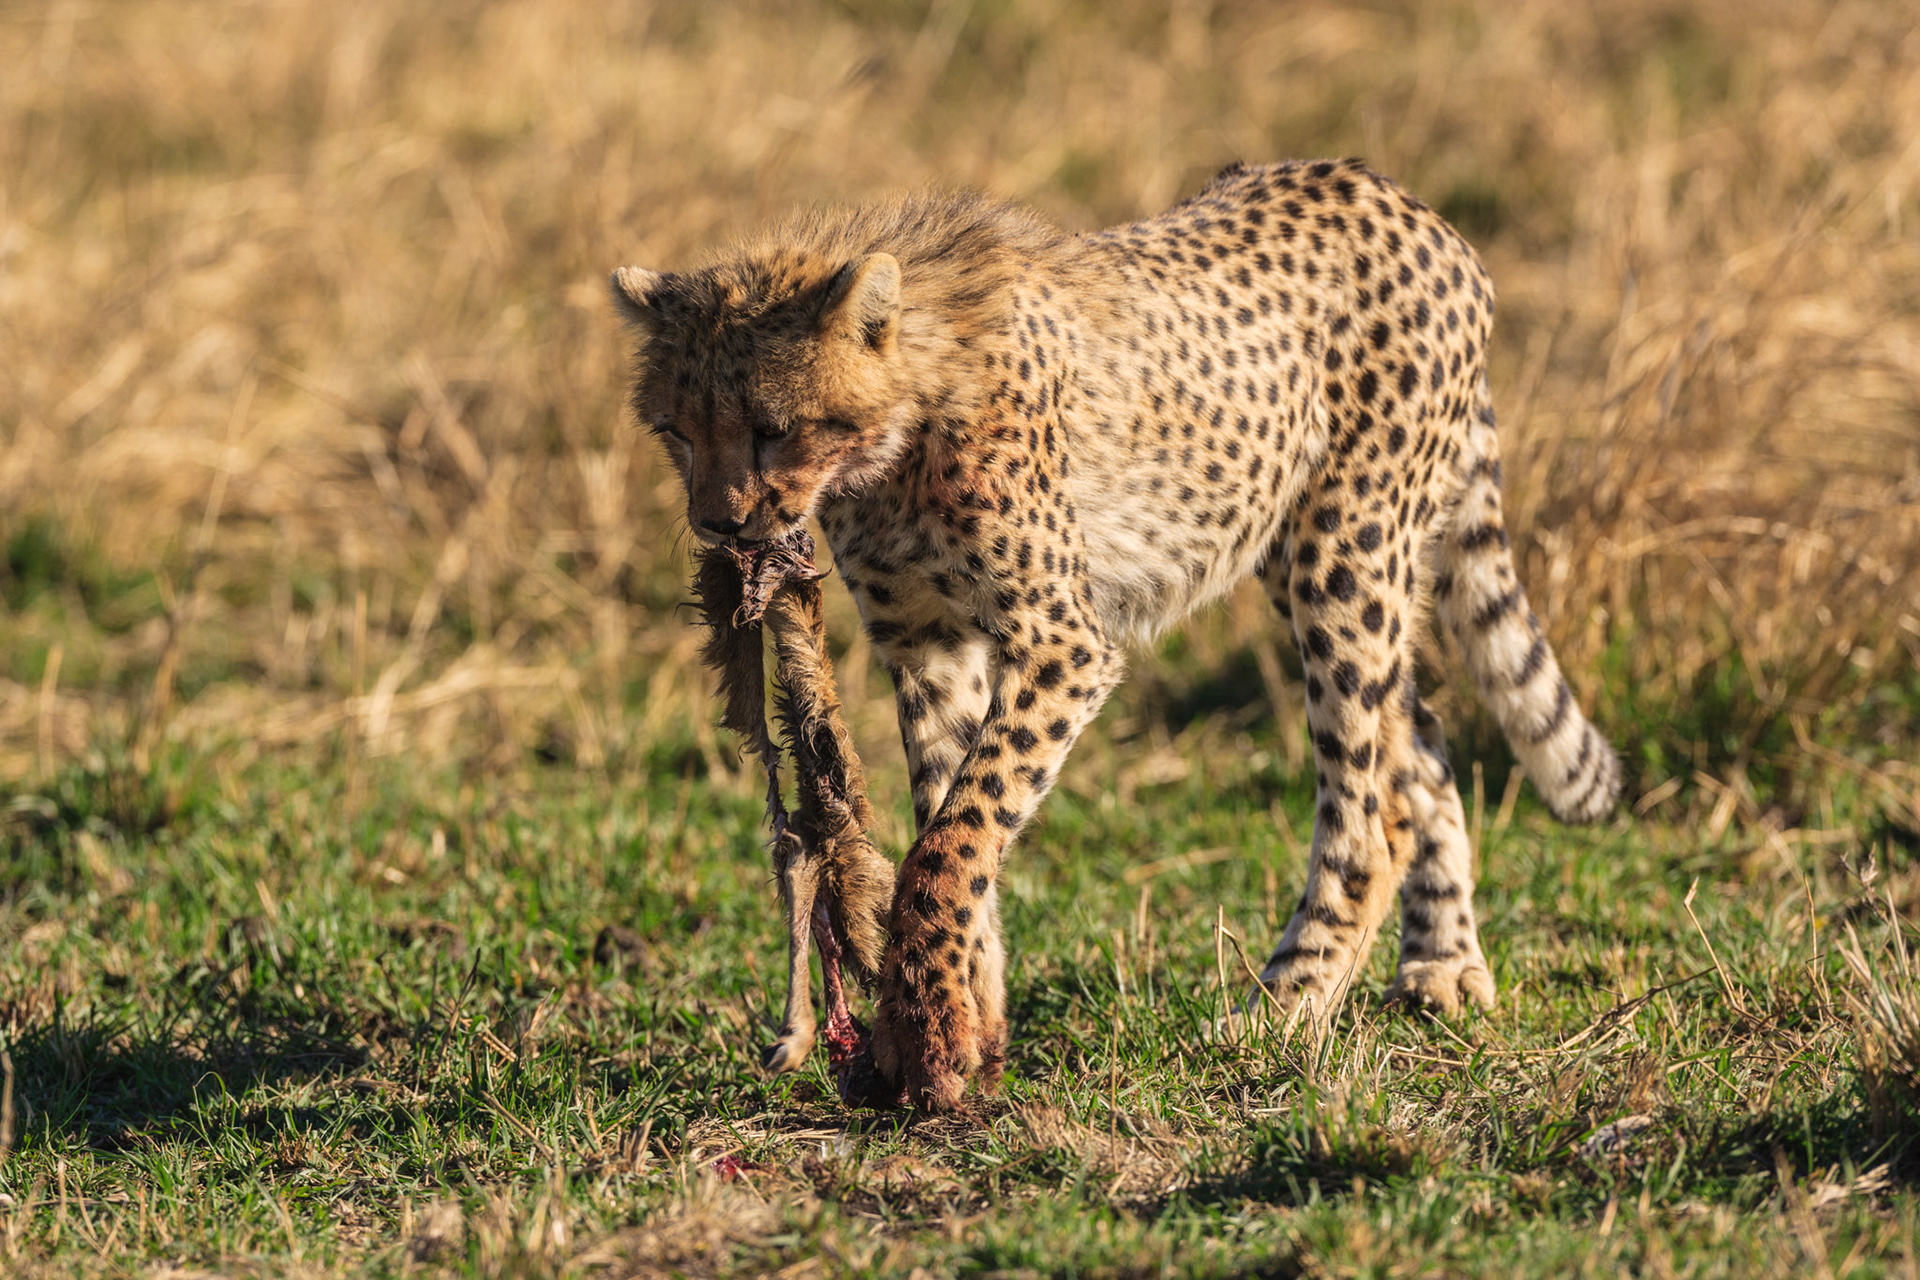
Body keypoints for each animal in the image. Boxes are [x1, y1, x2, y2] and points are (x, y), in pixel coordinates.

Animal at [611, 158, 1622, 1113]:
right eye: (676, 431)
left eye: (772, 429)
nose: (719, 524)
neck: (906, 416)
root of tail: (1400, 198)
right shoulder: (930, 644)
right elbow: (951, 818)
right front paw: (967, 1020)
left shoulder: (1060, 644)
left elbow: (954, 835)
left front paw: (931, 1027)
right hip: (1315, 555)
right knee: (1422, 747)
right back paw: (1441, 963)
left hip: (1346, 552)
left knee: (1369, 821)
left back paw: (1280, 1010)